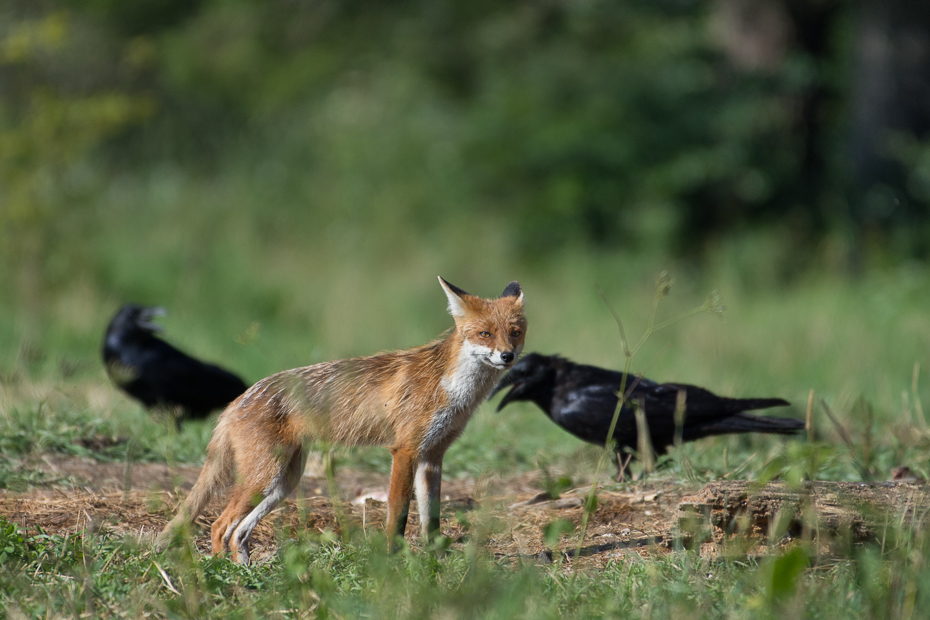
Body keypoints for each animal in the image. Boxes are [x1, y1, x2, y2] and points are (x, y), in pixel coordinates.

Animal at [156, 278, 524, 564]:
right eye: (485, 333)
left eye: (515, 333)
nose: (507, 356)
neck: (454, 389)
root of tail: (238, 399)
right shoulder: (405, 451)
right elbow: (398, 514)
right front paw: (394, 560)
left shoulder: (433, 456)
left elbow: (430, 519)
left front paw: (436, 563)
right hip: (263, 477)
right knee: (219, 525)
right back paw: (224, 572)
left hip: (283, 483)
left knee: (239, 531)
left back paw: (245, 568)